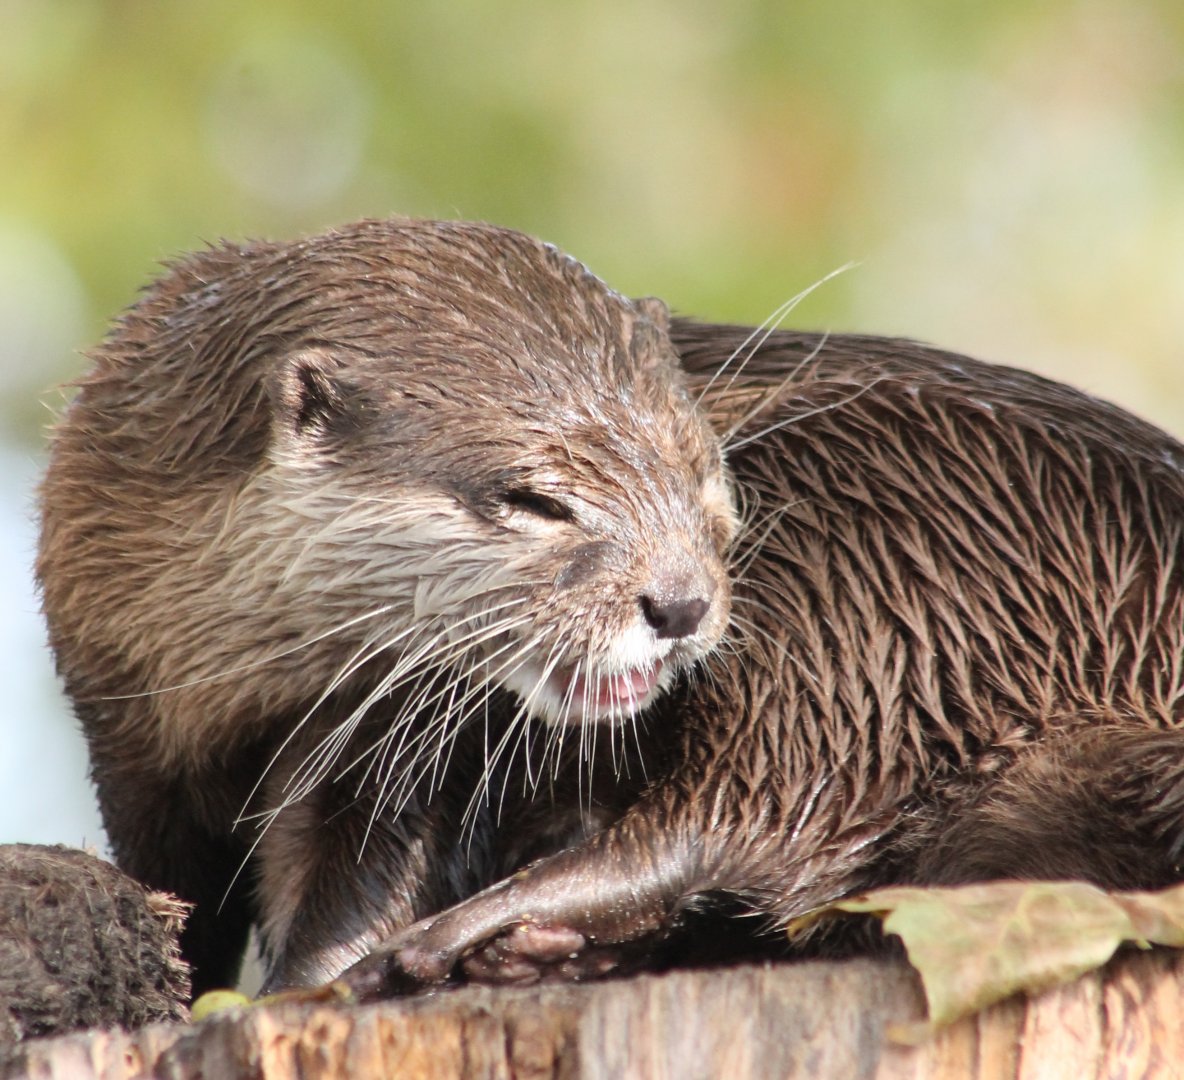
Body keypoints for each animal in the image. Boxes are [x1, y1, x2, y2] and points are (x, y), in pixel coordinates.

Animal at [36, 219, 737, 995]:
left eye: (700, 469)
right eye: (535, 500)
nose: (681, 604)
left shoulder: (396, 747)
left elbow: (370, 887)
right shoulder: (122, 724)